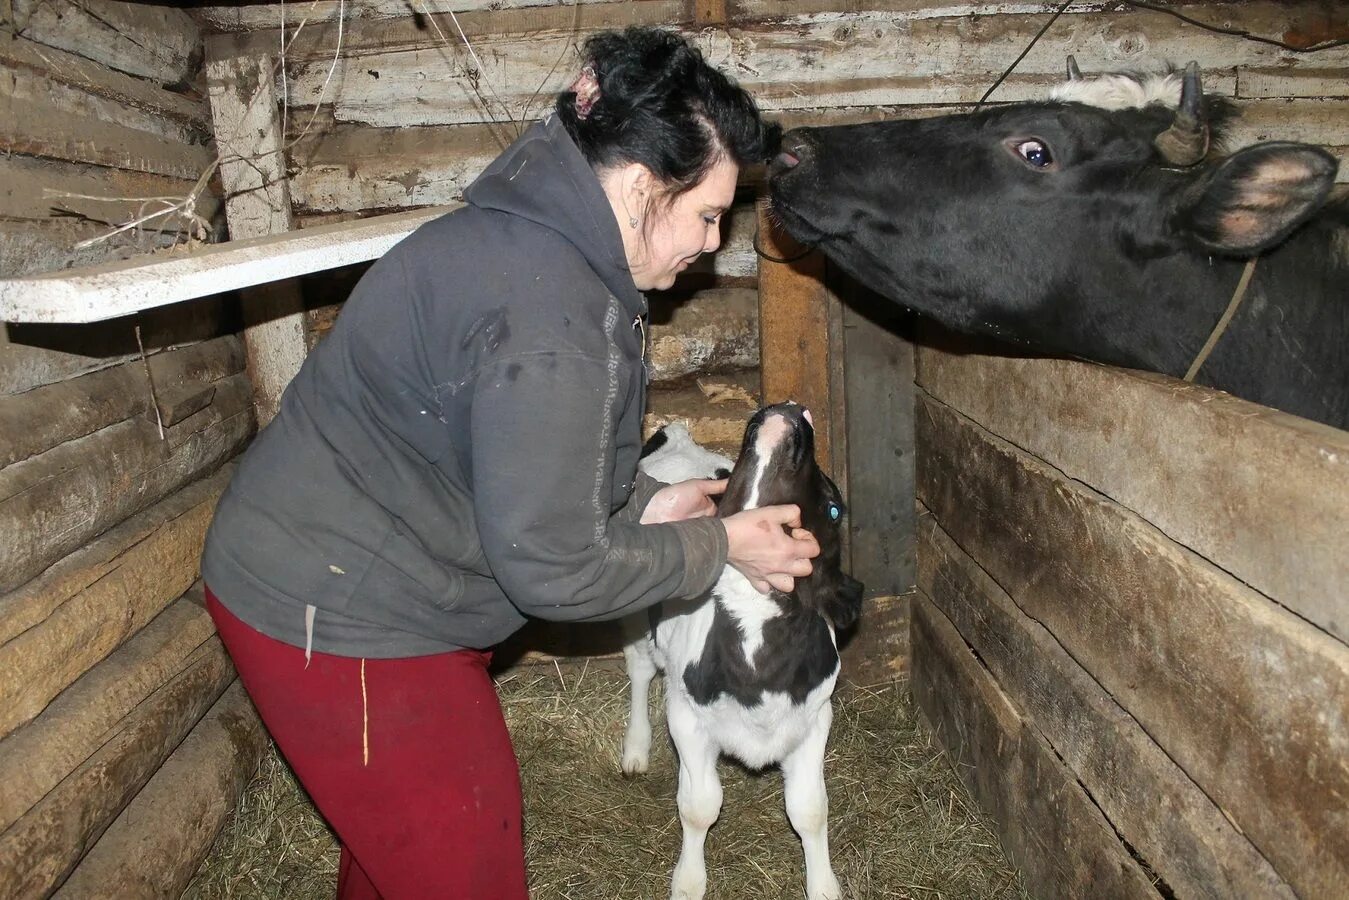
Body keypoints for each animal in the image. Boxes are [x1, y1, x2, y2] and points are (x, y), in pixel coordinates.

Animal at [620, 407, 863, 900]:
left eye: (834, 507)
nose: (794, 412)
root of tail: (677, 438)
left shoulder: (815, 718)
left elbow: (810, 809)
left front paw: (824, 885)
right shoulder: (686, 716)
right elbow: (699, 805)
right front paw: (688, 883)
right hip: (638, 616)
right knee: (638, 669)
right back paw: (635, 749)